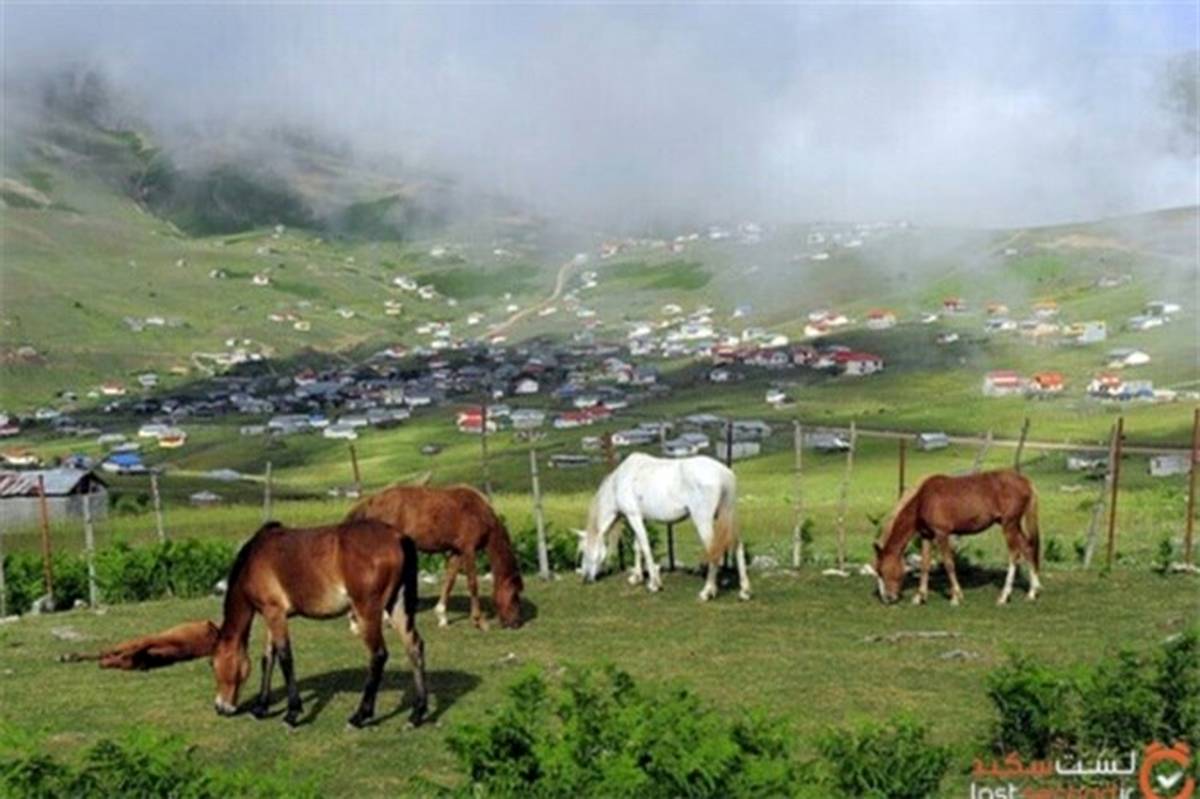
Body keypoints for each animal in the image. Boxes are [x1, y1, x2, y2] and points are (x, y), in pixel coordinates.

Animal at [213, 520, 429, 724]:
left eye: (214, 665)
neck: (253, 558)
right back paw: (417, 713)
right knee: (414, 647)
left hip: (367, 612)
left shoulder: (275, 613)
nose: (219, 707)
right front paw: (261, 708)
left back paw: (360, 716)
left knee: (378, 654)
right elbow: (268, 658)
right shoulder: (271, 614)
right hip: (396, 606)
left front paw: (292, 712)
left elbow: (285, 658)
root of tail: (398, 536)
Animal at [343, 484, 520, 628]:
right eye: (515, 594)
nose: (515, 623)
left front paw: (442, 616)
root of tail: (372, 501)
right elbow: (472, 584)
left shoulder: (457, 551)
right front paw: (479, 620)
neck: (478, 511)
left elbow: (450, 580)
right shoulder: (468, 550)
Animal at [573, 453, 748, 597]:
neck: (619, 482)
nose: (585, 578)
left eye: (583, 551)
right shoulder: (640, 518)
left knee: (714, 550)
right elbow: (637, 546)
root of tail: (724, 473)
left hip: (703, 520)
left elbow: (645, 546)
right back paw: (744, 591)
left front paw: (654, 584)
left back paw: (707, 591)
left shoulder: (633, 516)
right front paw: (636, 577)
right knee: (737, 546)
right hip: (728, 517)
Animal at [873, 467, 1041, 604]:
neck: (923, 499)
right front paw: (920, 596)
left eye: (881, 570)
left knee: (1014, 554)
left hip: (1009, 525)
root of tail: (1025, 482)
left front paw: (956, 596)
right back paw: (1032, 592)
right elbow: (925, 564)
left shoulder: (942, 534)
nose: (887, 598)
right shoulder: (926, 536)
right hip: (1014, 525)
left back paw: (1004, 596)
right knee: (1028, 548)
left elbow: (948, 563)